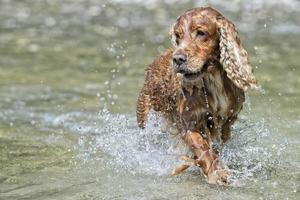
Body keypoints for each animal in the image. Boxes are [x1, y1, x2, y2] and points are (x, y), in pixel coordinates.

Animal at [135, 7, 255, 185]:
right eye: (178, 36)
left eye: (201, 32)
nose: (177, 59)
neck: (213, 79)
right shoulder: (190, 123)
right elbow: (203, 149)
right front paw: (217, 173)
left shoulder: (228, 120)